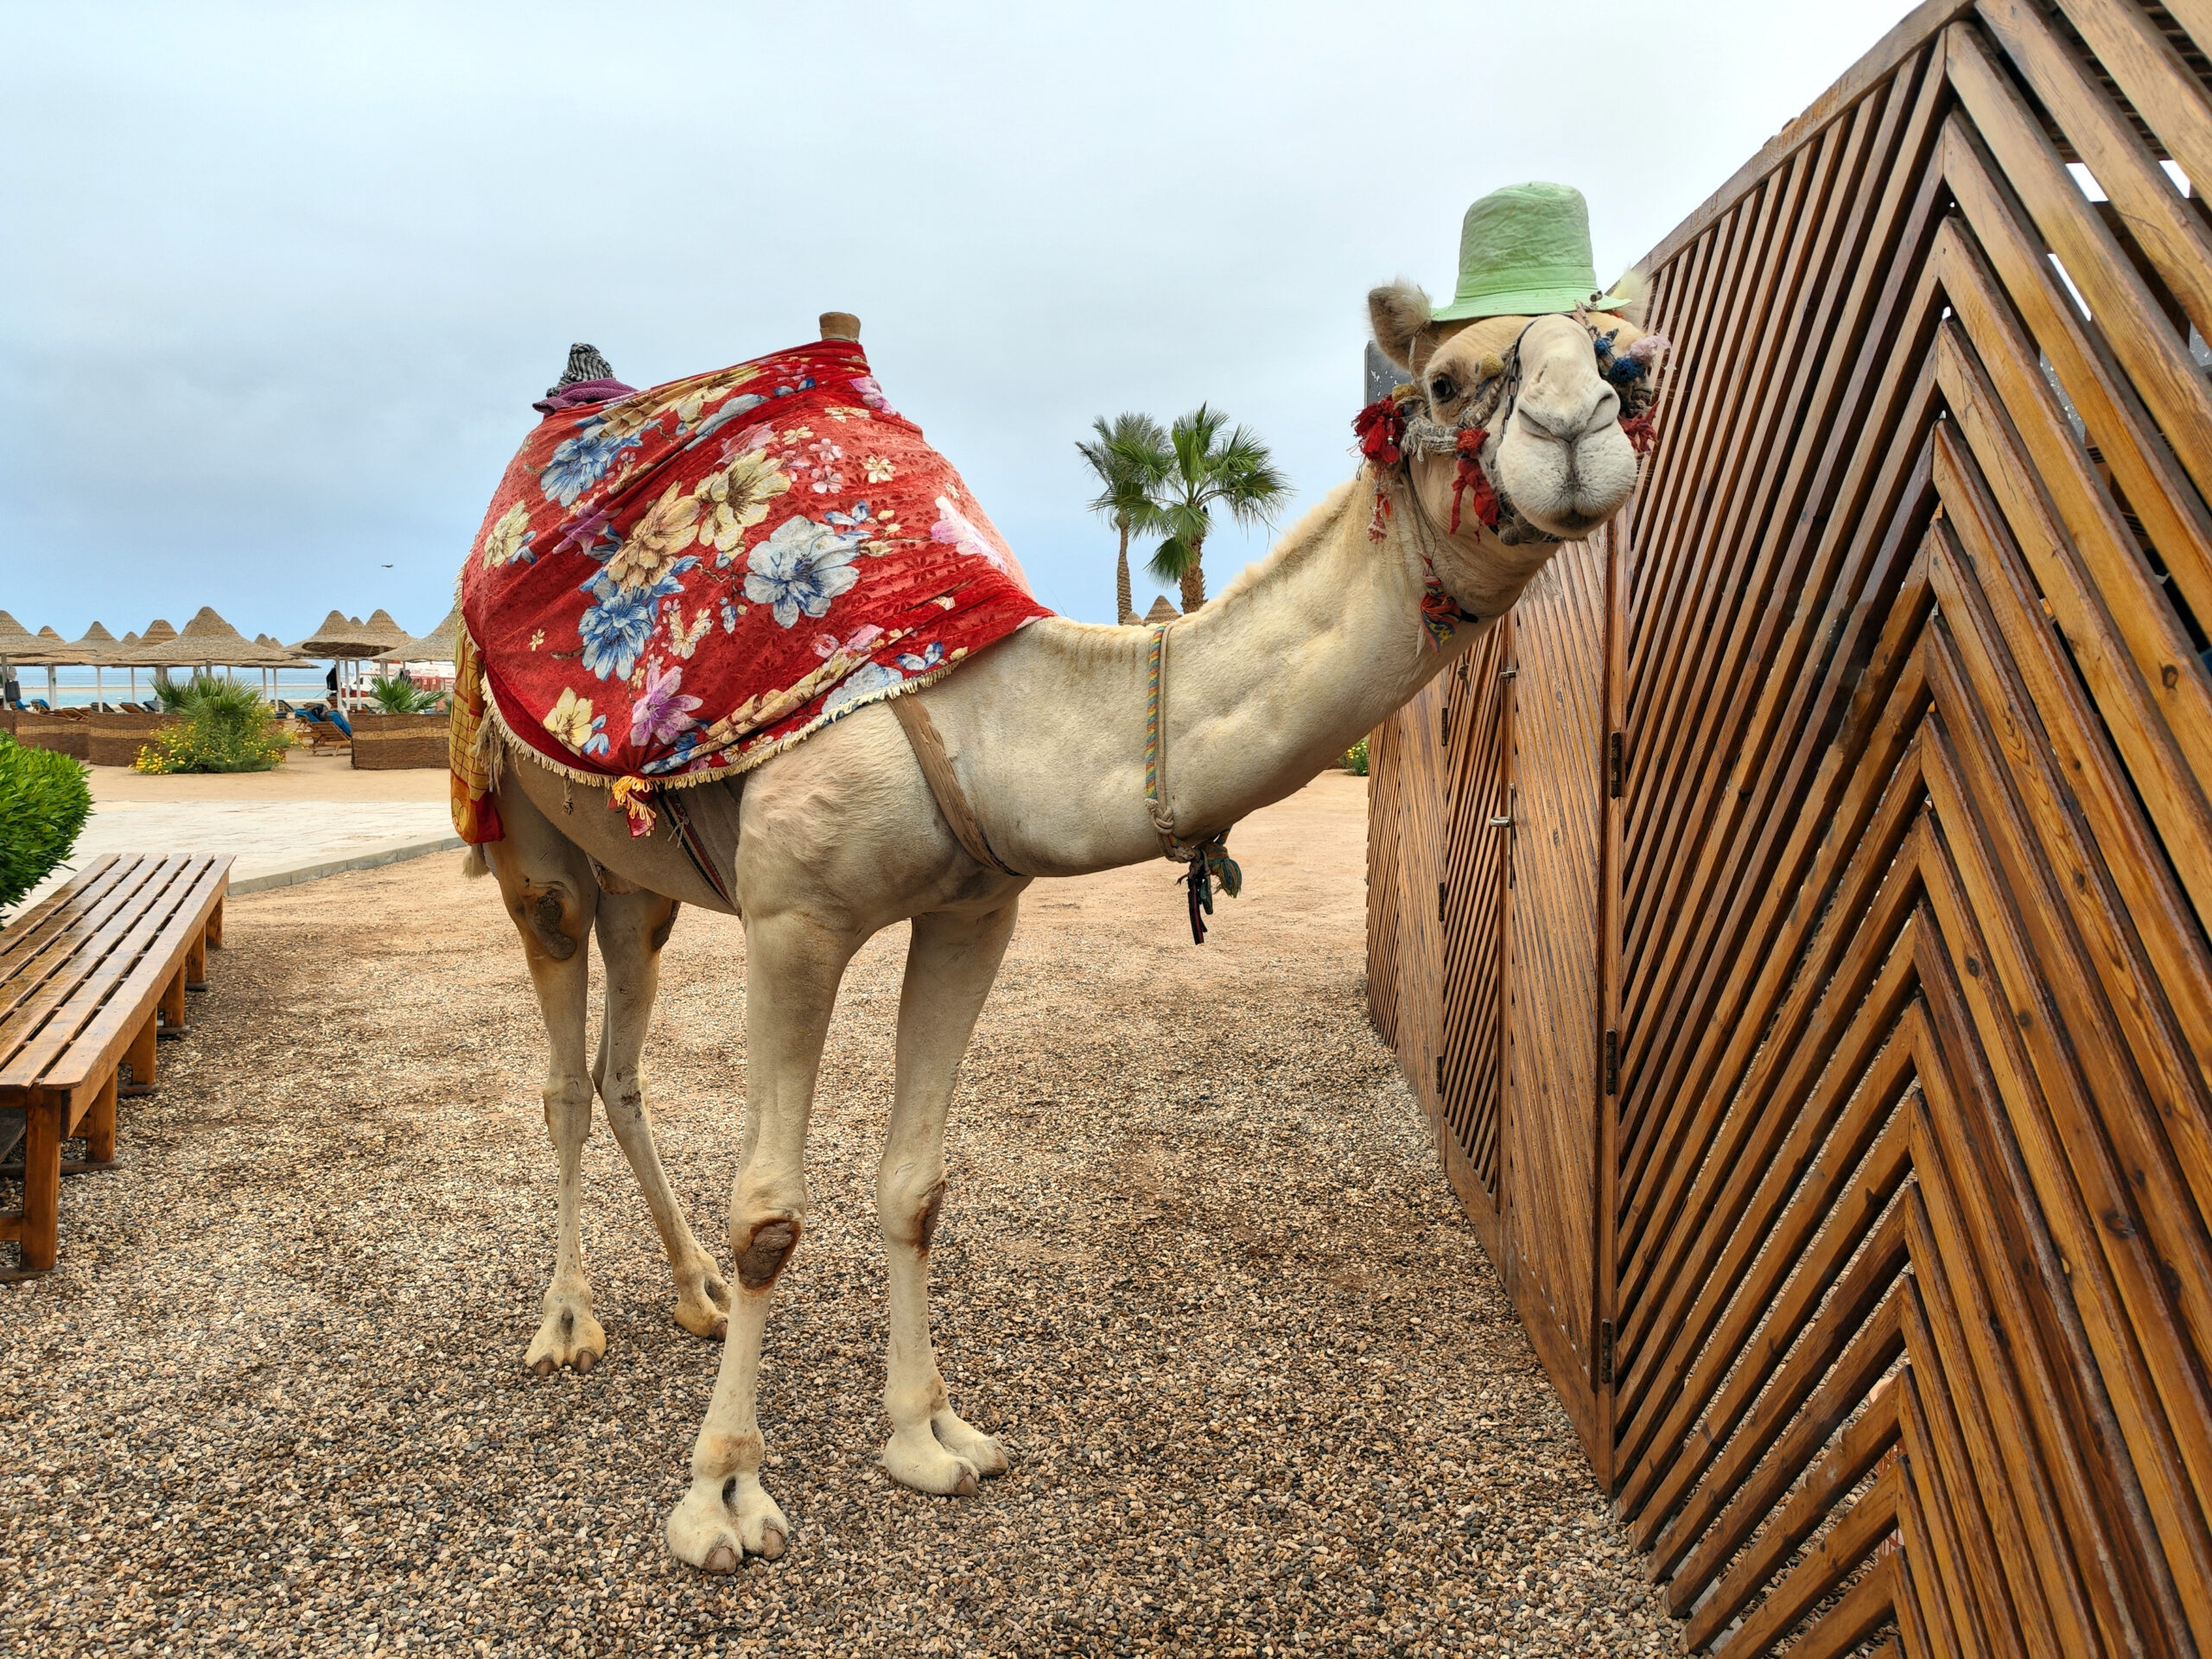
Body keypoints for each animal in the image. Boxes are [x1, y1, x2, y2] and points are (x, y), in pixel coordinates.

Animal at [475, 276, 1663, 1574]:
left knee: (620, 1065)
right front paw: (722, 1494)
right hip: (533, 851)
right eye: (1446, 381)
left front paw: (930, 1437)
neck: (996, 720)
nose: (1574, 433)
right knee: (561, 1078)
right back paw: (567, 1323)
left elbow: (915, 1186)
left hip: (635, 883)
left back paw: (688, 1291)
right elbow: (770, 1216)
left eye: (1638, 365)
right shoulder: (795, 916)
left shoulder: (974, 914)